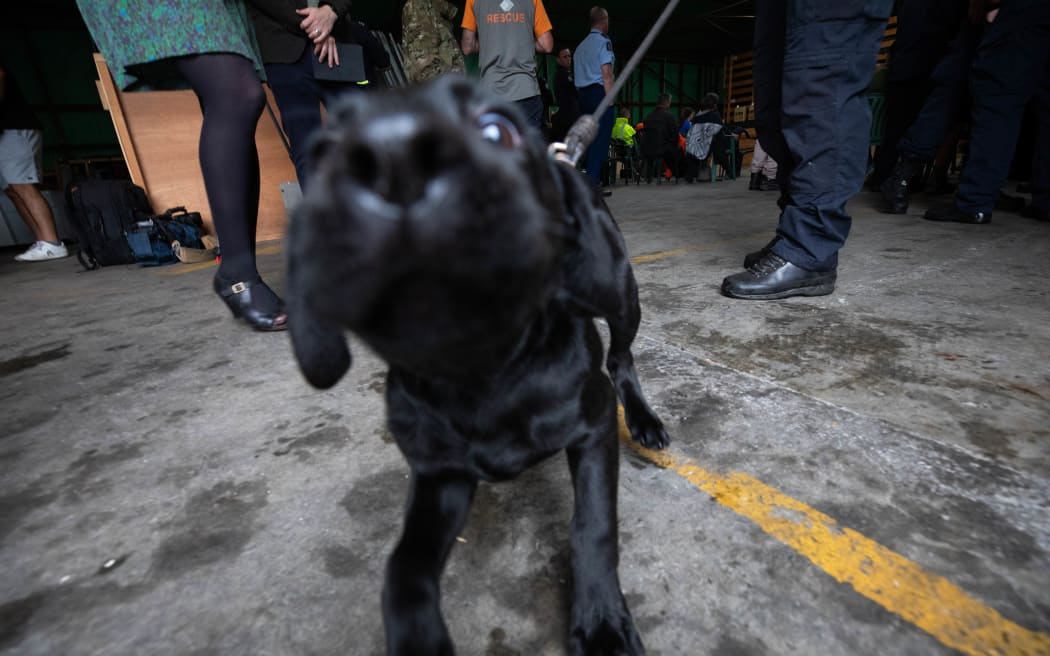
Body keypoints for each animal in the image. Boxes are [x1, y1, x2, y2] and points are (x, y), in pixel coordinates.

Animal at [283, 75, 667, 650]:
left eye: (497, 130)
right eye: (324, 152)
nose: (395, 156)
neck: (485, 374)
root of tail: (571, 159)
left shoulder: (595, 424)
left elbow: (593, 527)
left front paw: (601, 623)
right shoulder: (440, 475)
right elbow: (403, 569)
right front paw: (419, 638)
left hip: (620, 292)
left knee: (621, 358)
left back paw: (644, 420)